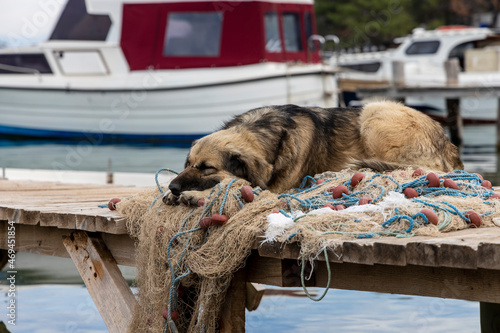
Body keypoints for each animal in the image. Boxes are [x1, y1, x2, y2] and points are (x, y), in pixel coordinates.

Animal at [166, 100, 462, 205]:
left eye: (206, 168)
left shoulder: (276, 188)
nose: (172, 187)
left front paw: (195, 195)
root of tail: (449, 145)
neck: (264, 130)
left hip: (374, 113)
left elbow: (232, 185)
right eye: (188, 163)